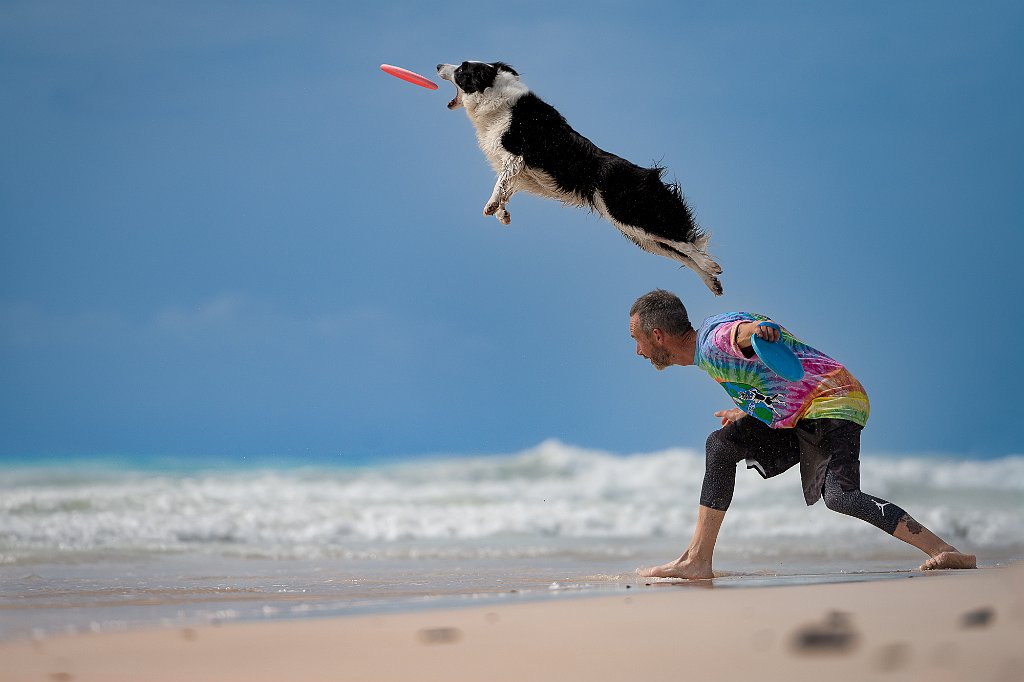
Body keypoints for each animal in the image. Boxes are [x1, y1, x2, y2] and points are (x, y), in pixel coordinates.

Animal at [436, 62, 724, 294]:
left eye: (462, 69)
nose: (438, 65)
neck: (495, 96)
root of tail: (647, 174)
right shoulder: (523, 173)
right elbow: (507, 187)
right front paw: (502, 214)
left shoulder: (517, 155)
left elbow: (500, 182)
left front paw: (491, 206)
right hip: (636, 233)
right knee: (680, 251)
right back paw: (713, 282)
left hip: (629, 212)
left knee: (683, 243)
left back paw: (712, 266)